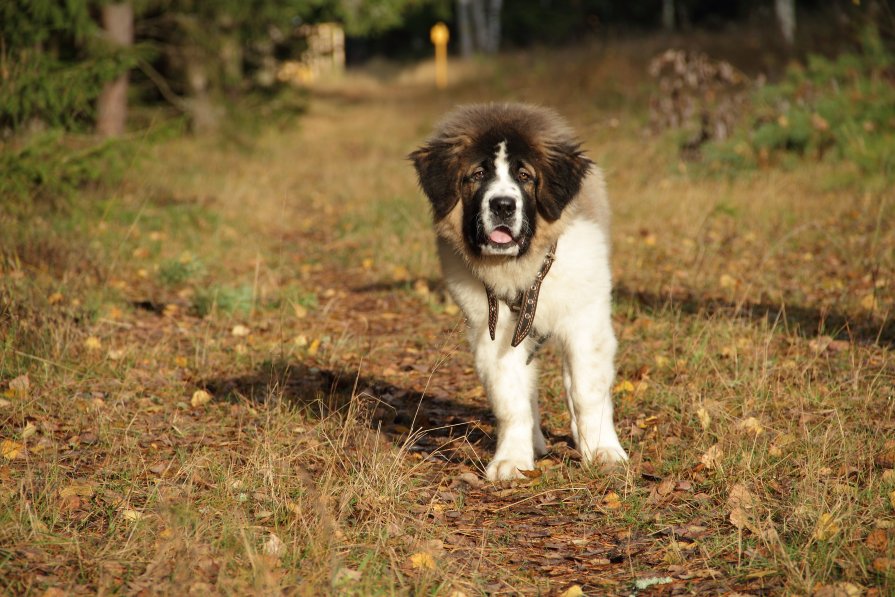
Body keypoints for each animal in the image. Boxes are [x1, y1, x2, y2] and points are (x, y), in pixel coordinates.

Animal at [412, 103, 632, 480]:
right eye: (477, 174)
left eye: (525, 176)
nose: (502, 205)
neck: (525, 267)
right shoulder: (493, 330)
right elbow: (511, 398)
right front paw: (513, 459)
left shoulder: (585, 320)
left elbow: (586, 390)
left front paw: (603, 450)